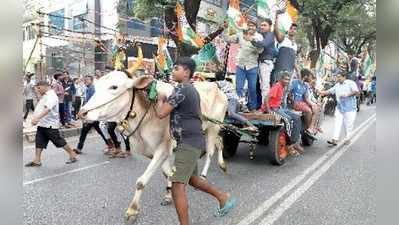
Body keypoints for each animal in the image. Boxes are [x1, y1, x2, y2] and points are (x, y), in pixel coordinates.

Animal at [79, 70, 228, 221]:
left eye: (114, 87)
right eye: (95, 87)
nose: (82, 112)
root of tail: (217, 87)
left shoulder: (162, 149)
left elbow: (141, 182)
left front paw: (132, 210)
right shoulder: (156, 151)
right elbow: (168, 173)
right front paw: (168, 195)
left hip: (214, 127)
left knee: (210, 152)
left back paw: (204, 176)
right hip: (208, 129)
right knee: (220, 142)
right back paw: (222, 165)